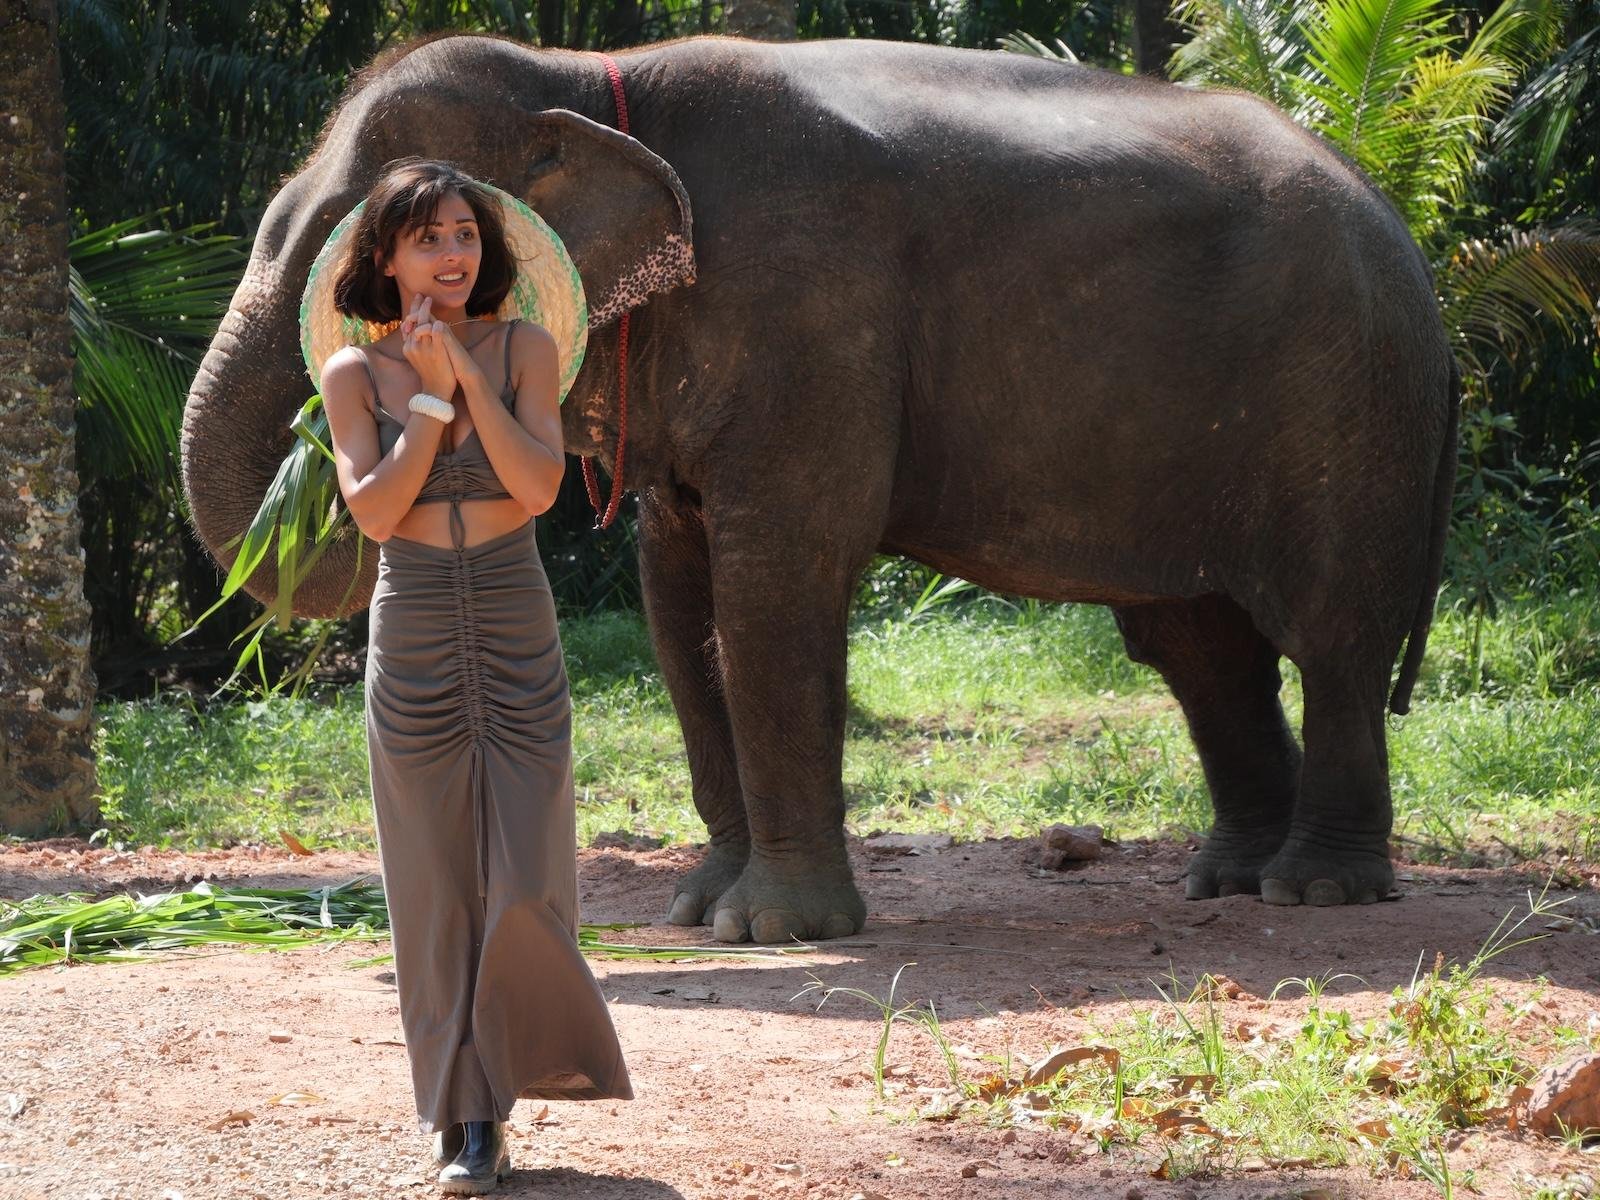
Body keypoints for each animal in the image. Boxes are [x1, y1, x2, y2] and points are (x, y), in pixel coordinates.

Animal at [182, 33, 1457, 943]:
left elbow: (772, 588)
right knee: (1201, 646)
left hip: (1347, 398)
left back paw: (1316, 894)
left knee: (1330, 632)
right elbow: (677, 597)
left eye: (361, 243)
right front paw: (698, 913)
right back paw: (1228, 881)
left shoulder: (805, 307)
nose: (319, 452)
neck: (585, 77)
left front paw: (773, 931)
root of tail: (1403, 238)